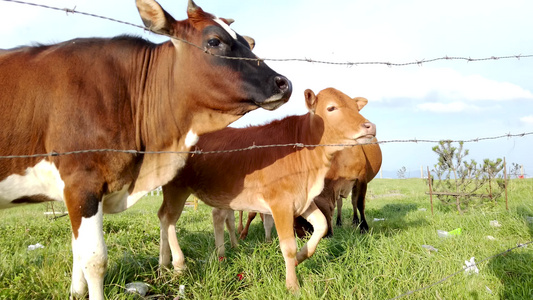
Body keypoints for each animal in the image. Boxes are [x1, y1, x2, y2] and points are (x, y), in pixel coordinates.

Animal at [0, 1, 290, 298]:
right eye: (214, 41)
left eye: (245, 41)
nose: (283, 83)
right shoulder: (81, 183)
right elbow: (94, 258)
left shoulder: (74, 192)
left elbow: (77, 248)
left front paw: (76, 292)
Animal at [158, 87, 374, 290]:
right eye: (331, 108)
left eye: (356, 108)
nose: (370, 126)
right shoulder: (281, 203)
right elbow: (288, 246)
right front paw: (292, 286)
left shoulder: (302, 200)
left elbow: (321, 225)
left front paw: (301, 257)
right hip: (176, 187)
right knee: (170, 219)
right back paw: (178, 264)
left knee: (169, 216)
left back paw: (166, 263)